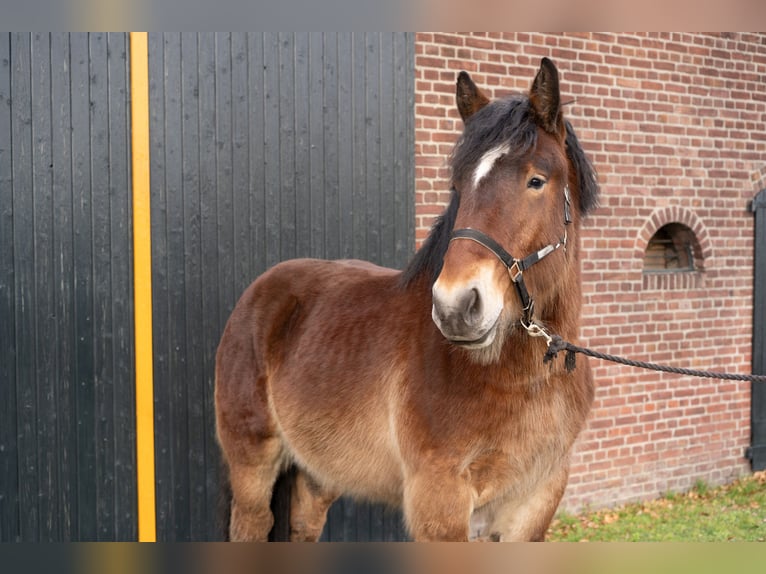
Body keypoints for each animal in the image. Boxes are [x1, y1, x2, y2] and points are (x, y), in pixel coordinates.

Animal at [215, 57, 600, 542]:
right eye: (458, 187)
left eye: (537, 180)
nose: (456, 307)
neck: (524, 378)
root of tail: (258, 293)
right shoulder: (440, 505)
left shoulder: (535, 503)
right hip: (252, 466)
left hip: (320, 473)